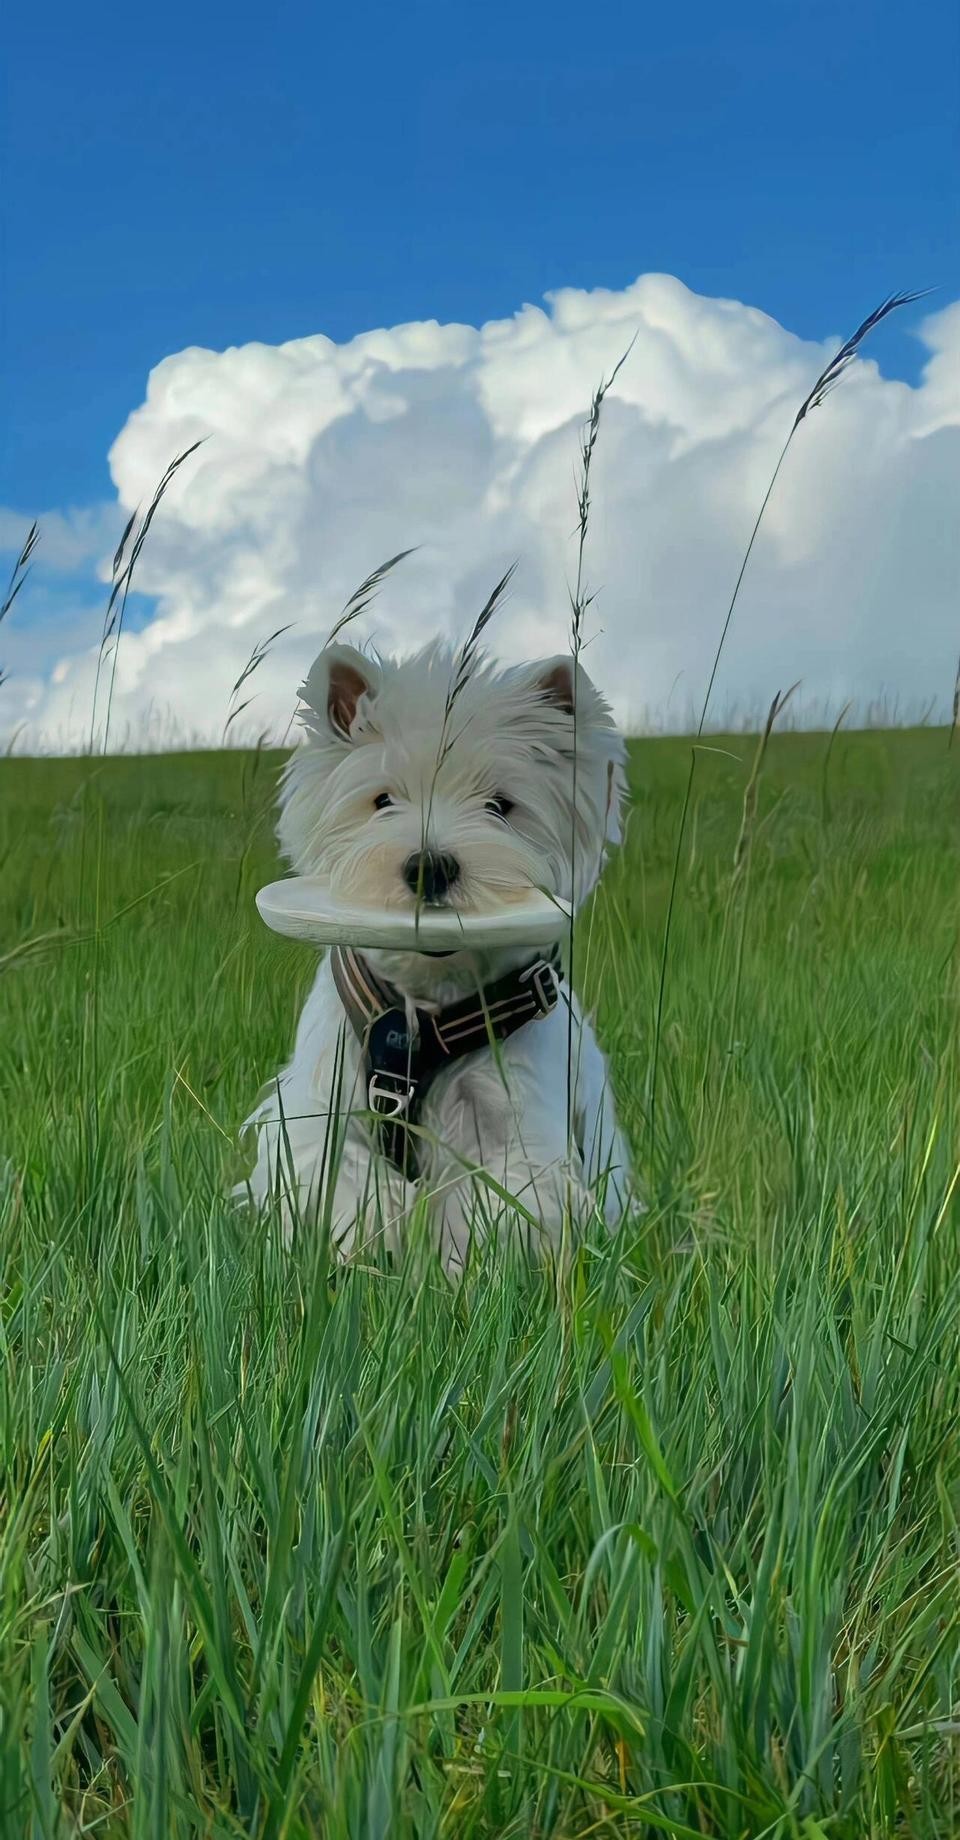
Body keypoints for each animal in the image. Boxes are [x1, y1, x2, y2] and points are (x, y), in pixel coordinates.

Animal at [237, 640, 628, 1273]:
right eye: (382, 800)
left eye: (500, 805)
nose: (431, 867)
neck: (422, 1014)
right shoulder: (324, 1117)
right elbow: (350, 1191)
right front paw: (364, 1259)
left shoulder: (514, 1135)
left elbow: (491, 1213)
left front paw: (465, 1277)